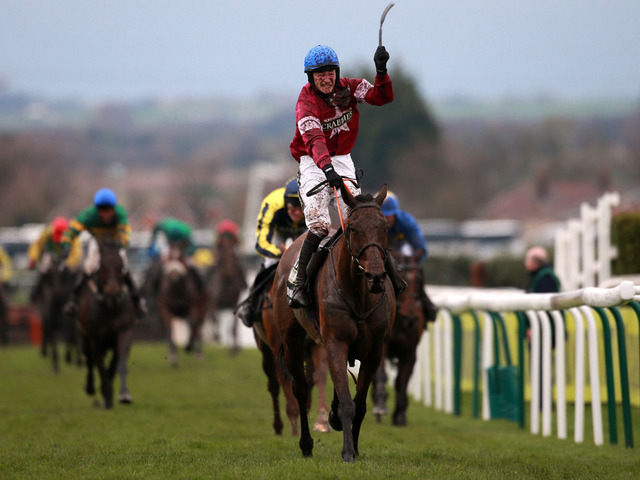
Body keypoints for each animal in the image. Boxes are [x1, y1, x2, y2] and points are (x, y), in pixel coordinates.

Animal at [77, 240, 138, 408]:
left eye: (121, 266)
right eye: (102, 267)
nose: (114, 294)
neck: (109, 307)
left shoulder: (124, 332)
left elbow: (118, 364)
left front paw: (123, 395)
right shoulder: (95, 337)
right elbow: (100, 367)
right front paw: (107, 396)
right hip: (84, 338)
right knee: (89, 360)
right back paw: (90, 387)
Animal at [268, 184, 392, 462]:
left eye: (384, 227)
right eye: (353, 228)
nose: (376, 276)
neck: (359, 294)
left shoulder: (375, 351)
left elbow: (360, 404)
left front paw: (354, 446)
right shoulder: (336, 342)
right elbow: (347, 403)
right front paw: (347, 451)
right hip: (292, 342)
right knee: (301, 389)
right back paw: (305, 444)